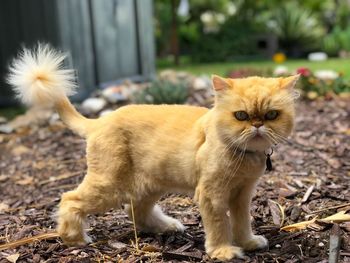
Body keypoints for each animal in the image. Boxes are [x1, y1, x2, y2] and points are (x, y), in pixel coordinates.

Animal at [8, 45, 298, 262]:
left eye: (272, 115)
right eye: (241, 116)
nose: (257, 125)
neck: (241, 153)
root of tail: (100, 121)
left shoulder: (241, 195)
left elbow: (241, 222)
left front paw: (247, 242)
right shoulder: (212, 195)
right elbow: (219, 225)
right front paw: (223, 251)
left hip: (150, 184)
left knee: (136, 211)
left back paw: (167, 226)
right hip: (109, 187)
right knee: (70, 199)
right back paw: (75, 239)